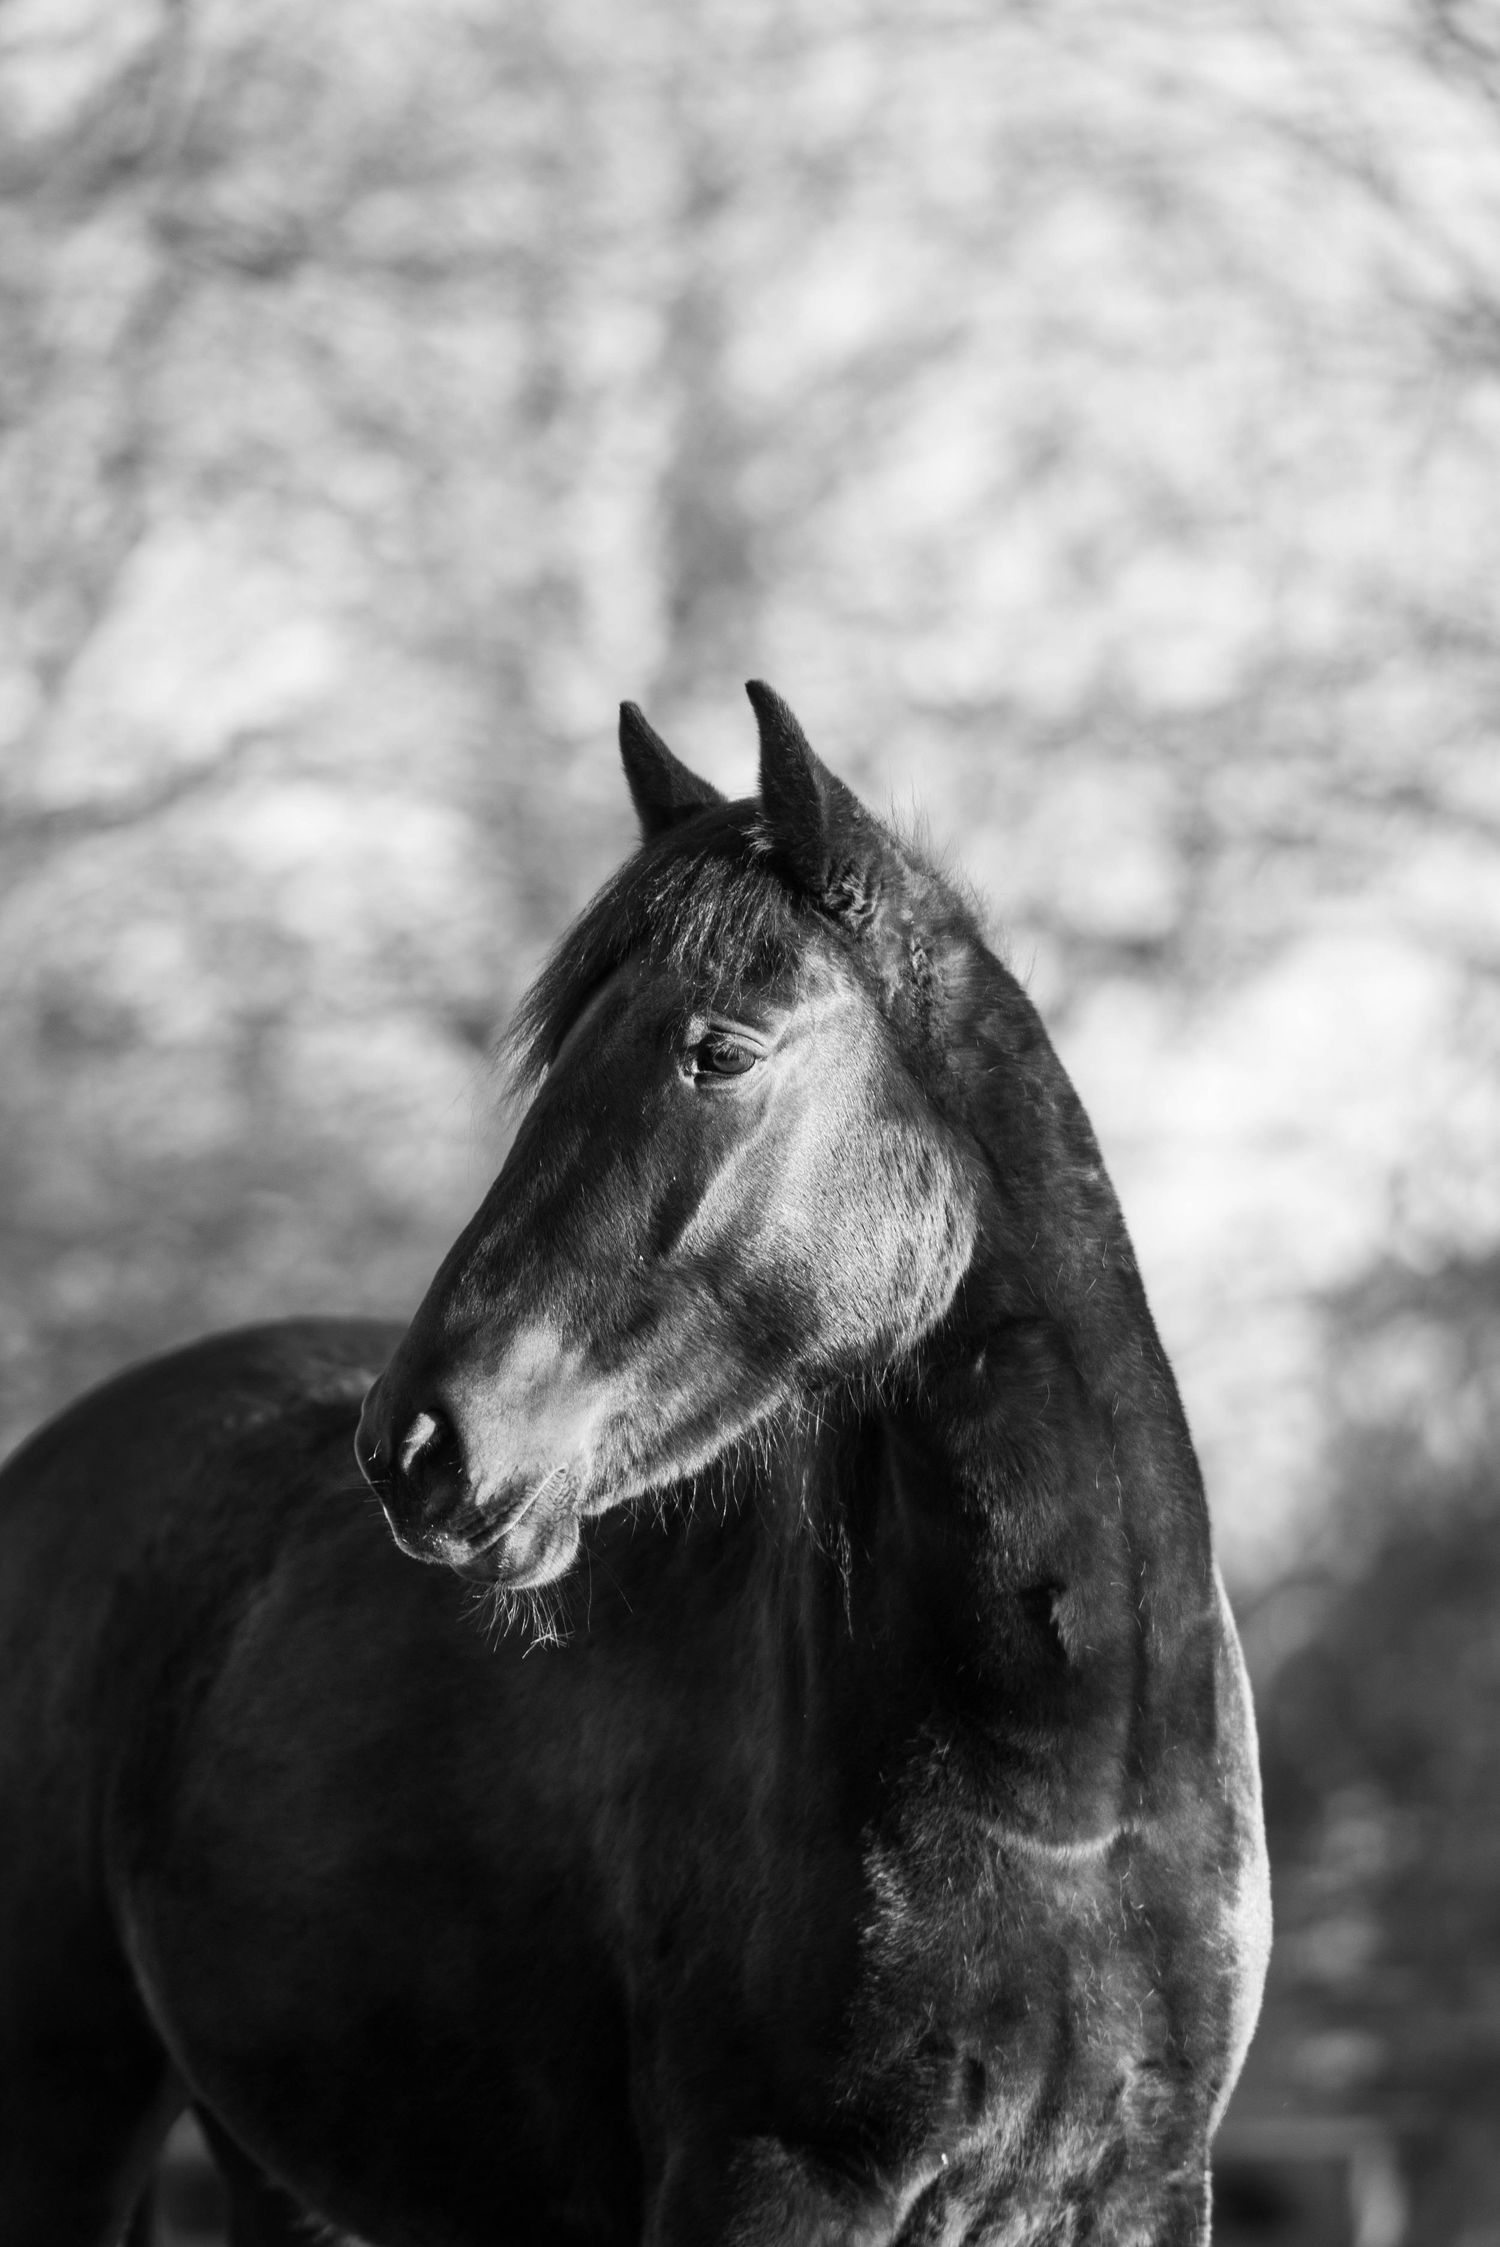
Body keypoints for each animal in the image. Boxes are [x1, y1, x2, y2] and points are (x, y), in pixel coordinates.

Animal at [0, 684, 1270, 2247]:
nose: (417, 1445)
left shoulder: (1142, 2190)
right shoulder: (768, 2187)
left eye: (719, 1051)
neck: (1066, 1786)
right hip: (60, 2118)